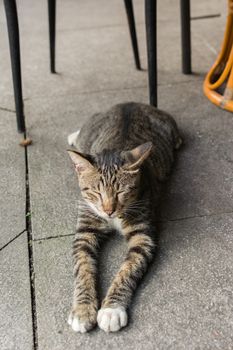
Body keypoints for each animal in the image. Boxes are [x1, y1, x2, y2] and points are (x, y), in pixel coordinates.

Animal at [66, 102, 181, 334]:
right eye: (96, 192)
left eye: (122, 192)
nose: (109, 210)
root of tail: (130, 103)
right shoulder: (85, 229)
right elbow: (83, 267)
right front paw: (82, 310)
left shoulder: (142, 236)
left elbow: (128, 269)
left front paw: (111, 310)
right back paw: (75, 136)